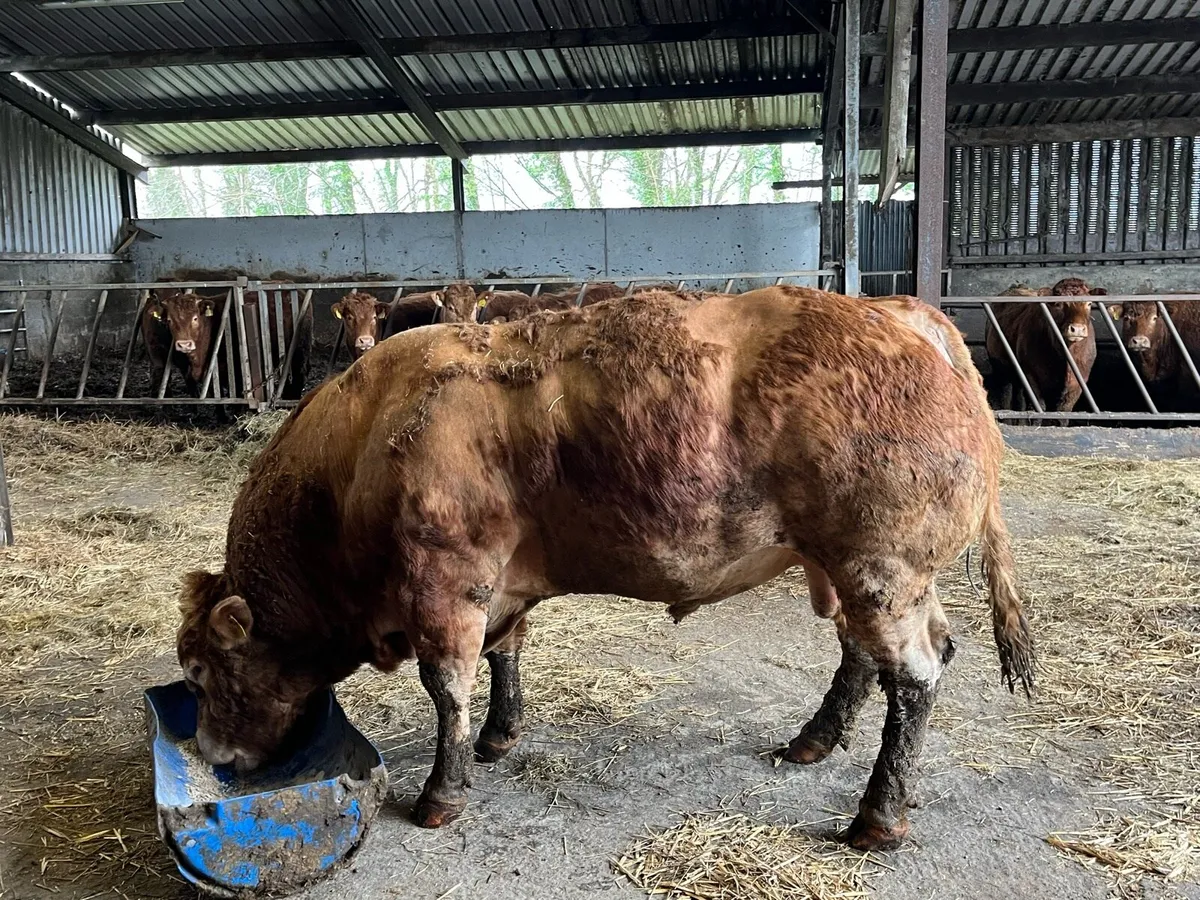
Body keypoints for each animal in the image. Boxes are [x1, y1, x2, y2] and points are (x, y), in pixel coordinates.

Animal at [145, 287, 313, 400]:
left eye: (195, 318)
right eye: (169, 320)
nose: (184, 344)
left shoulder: (238, 373)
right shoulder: (210, 375)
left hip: (300, 348)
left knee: (300, 373)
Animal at [176, 286, 1034, 853]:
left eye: (200, 670)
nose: (211, 754)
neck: (363, 447)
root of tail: (904, 314)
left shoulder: (445, 581)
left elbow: (448, 686)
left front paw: (442, 793)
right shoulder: (501, 583)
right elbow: (504, 654)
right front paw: (500, 735)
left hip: (881, 564)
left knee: (915, 675)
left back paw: (877, 816)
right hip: (858, 570)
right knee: (871, 656)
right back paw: (815, 740)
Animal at [984, 278, 1104, 413]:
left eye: (1089, 304)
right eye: (1058, 304)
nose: (1077, 329)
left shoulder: (1078, 382)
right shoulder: (1032, 376)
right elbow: (1038, 406)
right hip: (1001, 368)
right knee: (1005, 396)